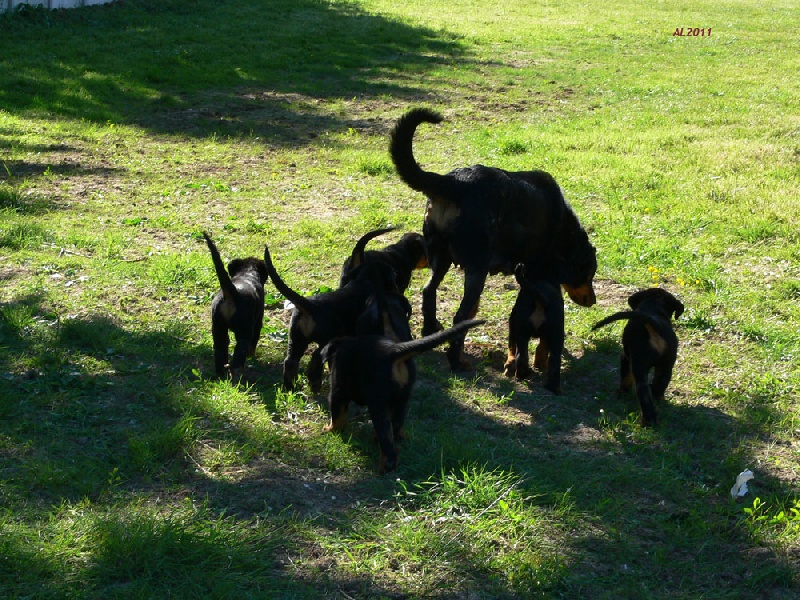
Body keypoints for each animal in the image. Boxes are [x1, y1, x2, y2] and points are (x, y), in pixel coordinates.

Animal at [203, 232, 268, 378]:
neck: (247, 274)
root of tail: (233, 292)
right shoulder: (258, 321)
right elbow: (253, 342)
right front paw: (252, 356)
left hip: (218, 326)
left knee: (220, 349)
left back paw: (221, 374)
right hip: (244, 330)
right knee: (240, 351)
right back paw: (237, 373)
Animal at [264, 241, 398, 392]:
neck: (365, 280)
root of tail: (310, 306)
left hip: (296, 338)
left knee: (290, 361)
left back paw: (290, 387)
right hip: (327, 337)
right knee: (317, 355)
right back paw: (314, 383)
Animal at [390, 108, 596, 370]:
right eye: (589, 275)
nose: (593, 301)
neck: (563, 229)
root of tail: (453, 182)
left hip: (439, 258)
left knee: (429, 292)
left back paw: (431, 332)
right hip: (475, 268)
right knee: (459, 315)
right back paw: (456, 361)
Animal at [504, 262, 564, 394]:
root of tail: (539, 296)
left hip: (522, 331)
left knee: (522, 357)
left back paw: (522, 376)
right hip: (555, 334)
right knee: (554, 360)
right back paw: (553, 388)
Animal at [592, 288, 684, 424]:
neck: (653, 307)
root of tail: (653, 323)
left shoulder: (625, 357)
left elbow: (625, 378)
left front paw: (622, 392)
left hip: (639, 366)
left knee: (643, 393)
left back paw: (647, 421)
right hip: (666, 366)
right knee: (659, 385)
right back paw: (659, 401)